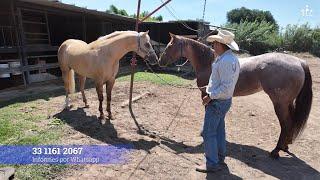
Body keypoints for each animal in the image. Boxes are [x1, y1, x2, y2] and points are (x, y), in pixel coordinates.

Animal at [159, 33, 314, 158]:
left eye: (170, 46)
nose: (160, 61)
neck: (209, 62)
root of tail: (299, 62)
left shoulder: (206, 94)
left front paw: (204, 132)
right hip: (288, 103)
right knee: (291, 122)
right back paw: (285, 146)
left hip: (280, 104)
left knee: (286, 124)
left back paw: (275, 151)